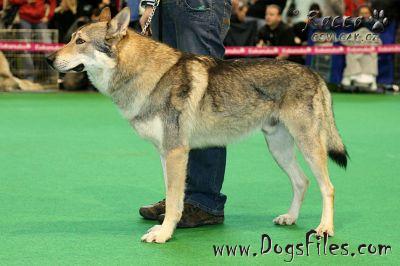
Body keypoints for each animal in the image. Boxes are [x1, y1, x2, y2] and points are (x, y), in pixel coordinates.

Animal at [46, 6, 346, 243]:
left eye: (80, 41)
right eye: (70, 38)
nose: (48, 59)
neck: (148, 75)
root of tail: (314, 73)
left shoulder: (177, 151)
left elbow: (174, 200)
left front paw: (163, 234)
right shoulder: (165, 153)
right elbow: (173, 196)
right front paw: (165, 226)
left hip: (308, 146)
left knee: (329, 187)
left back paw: (325, 228)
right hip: (279, 148)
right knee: (302, 181)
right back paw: (290, 218)